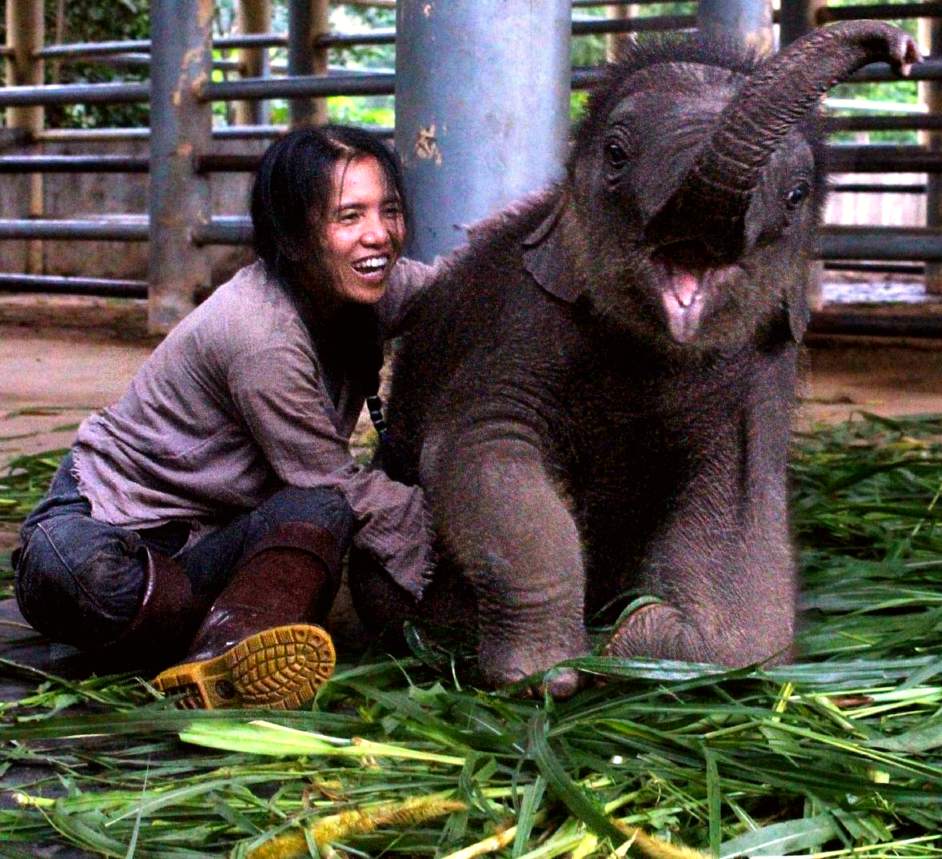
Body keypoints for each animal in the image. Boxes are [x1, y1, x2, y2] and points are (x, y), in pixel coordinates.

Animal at [350, 21, 920, 697]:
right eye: (617, 152)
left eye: (796, 194)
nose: (902, 48)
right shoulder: (517, 324)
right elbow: (484, 452)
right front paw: (545, 674)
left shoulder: (759, 374)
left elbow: (744, 553)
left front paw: (633, 646)